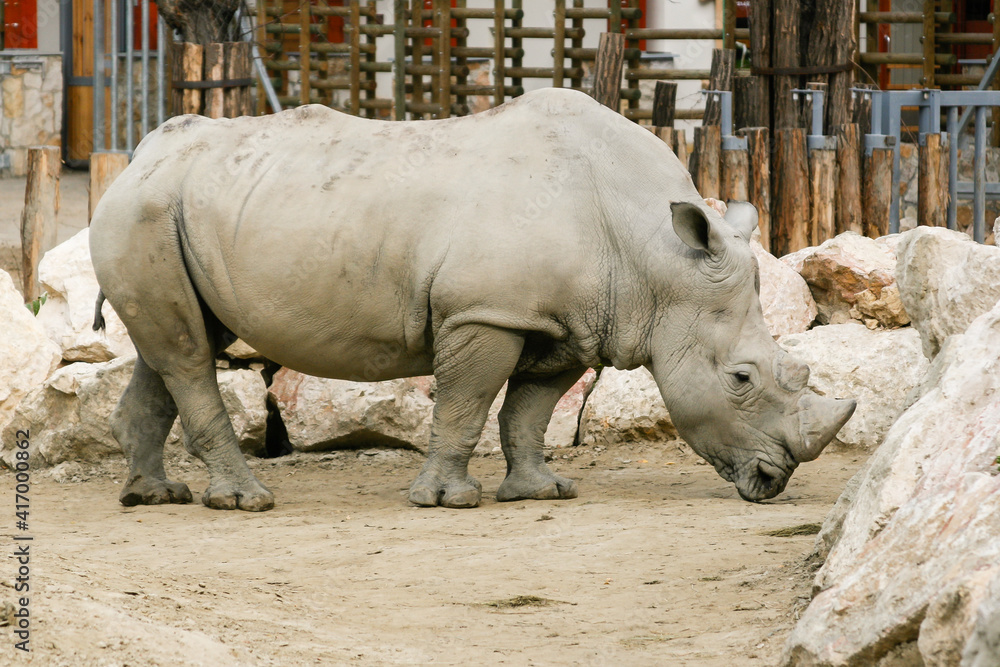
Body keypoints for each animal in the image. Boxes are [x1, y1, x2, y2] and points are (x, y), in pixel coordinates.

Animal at [89, 88, 854, 512]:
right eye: (742, 378)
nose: (775, 479)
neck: (655, 259)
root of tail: (136, 157)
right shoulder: (484, 312)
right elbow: (466, 403)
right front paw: (448, 502)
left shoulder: (567, 322)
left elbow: (528, 410)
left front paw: (542, 492)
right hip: (143, 212)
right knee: (188, 355)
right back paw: (244, 503)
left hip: (172, 211)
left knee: (175, 347)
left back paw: (153, 496)